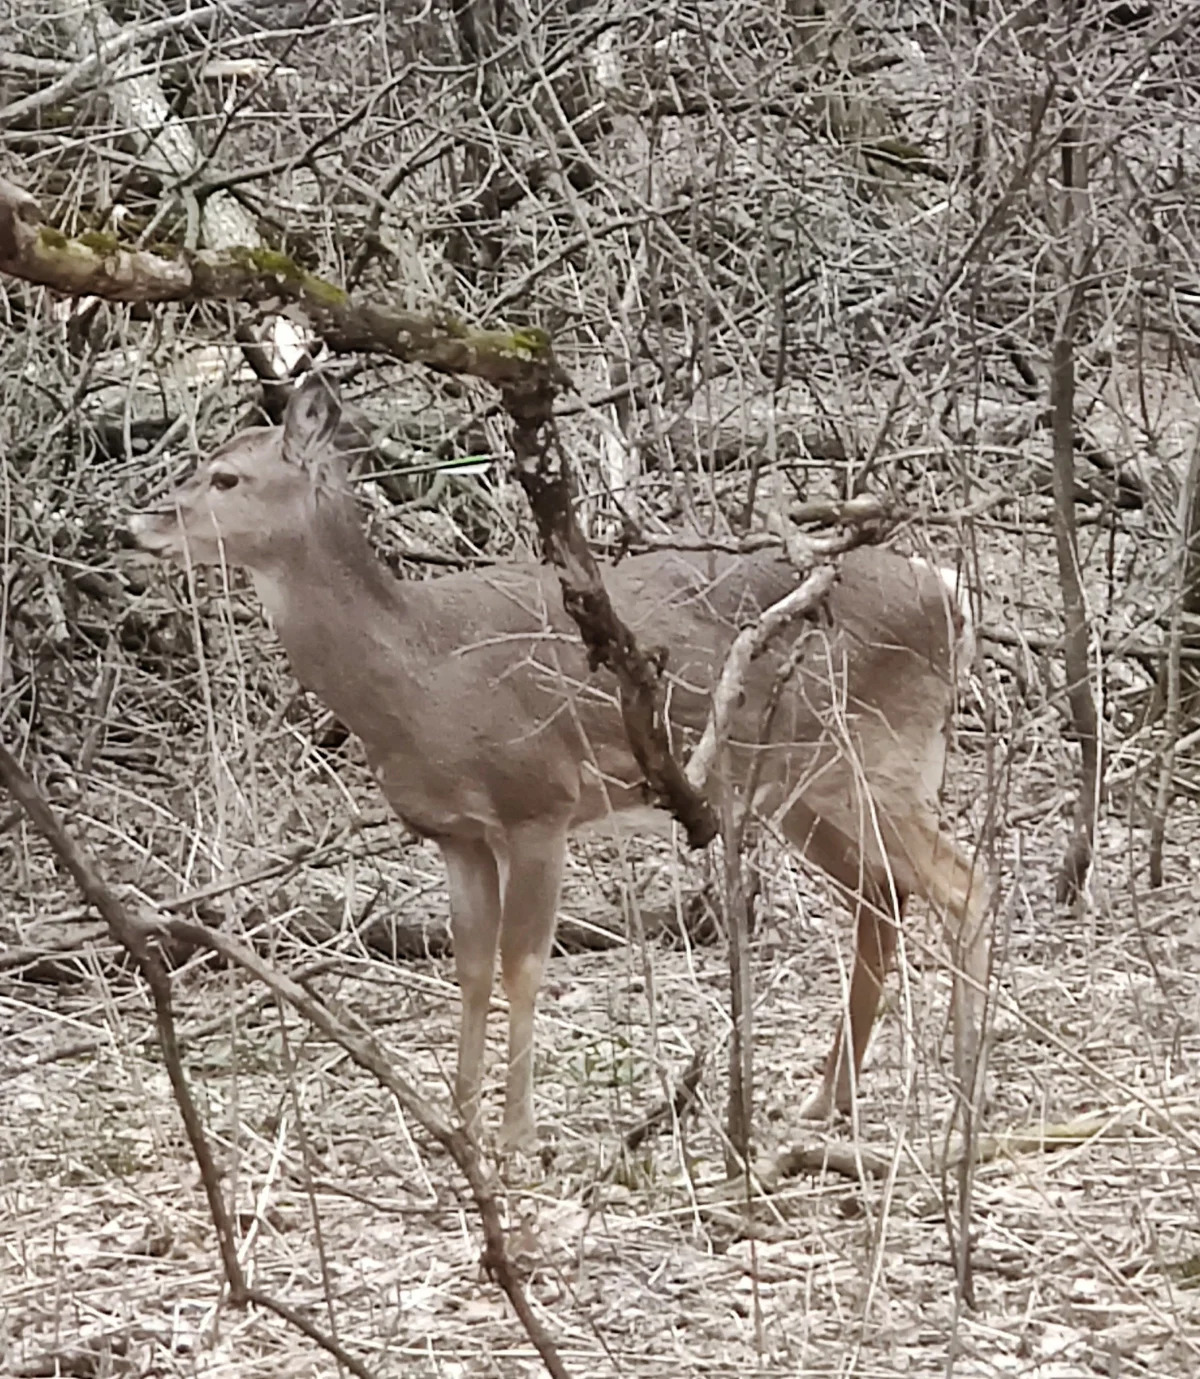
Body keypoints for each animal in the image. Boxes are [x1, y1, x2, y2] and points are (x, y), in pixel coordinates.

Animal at [128, 377, 998, 1152]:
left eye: (227, 477)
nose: (138, 523)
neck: (419, 675)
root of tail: (948, 591)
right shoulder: (458, 833)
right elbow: (472, 965)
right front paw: (463, 1123)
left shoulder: (540, 800)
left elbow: (523, 964)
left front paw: (517, 1137)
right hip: (802, 788)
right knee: (884, 900)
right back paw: (826, 1100)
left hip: (878, 751)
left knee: (963, 884)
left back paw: (962, 1104)